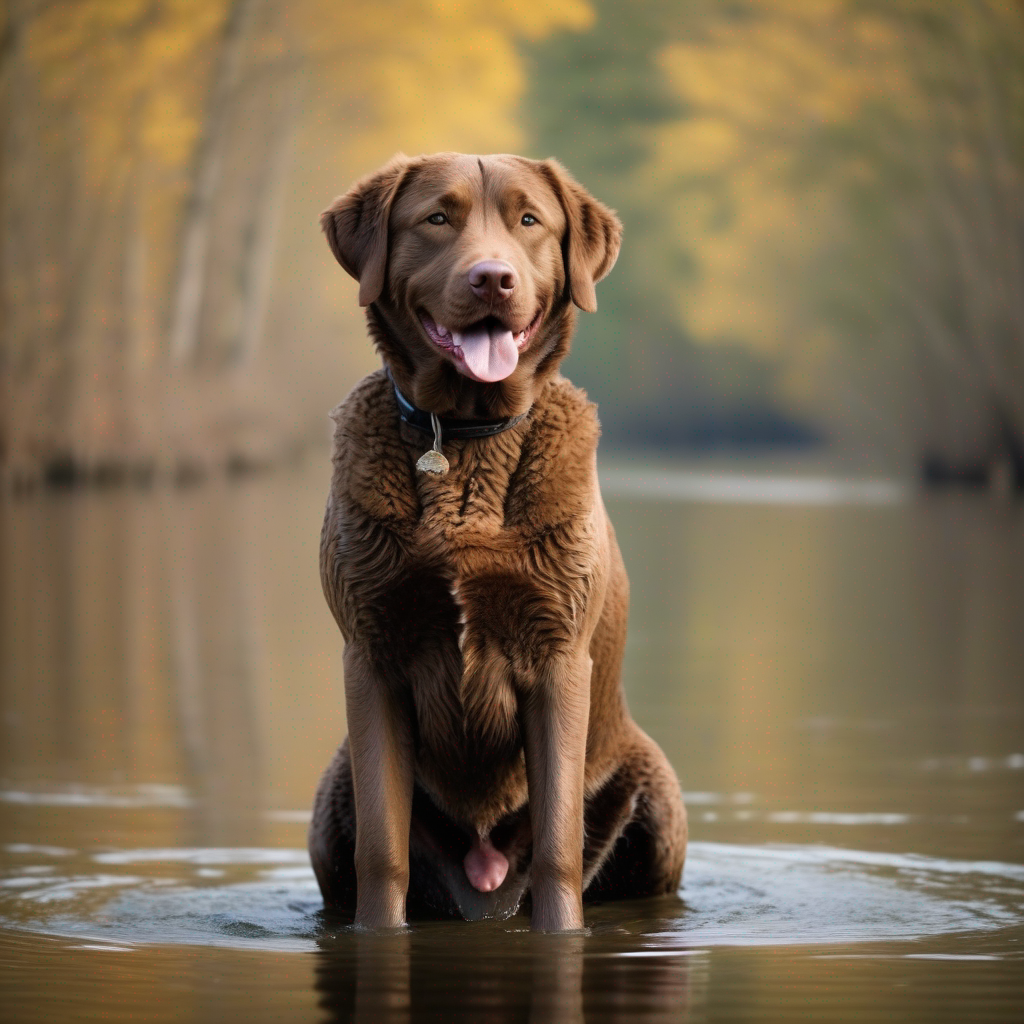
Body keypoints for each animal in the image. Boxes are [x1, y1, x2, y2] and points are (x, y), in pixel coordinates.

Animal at [307, 149, 684, 929]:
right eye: (436, 218)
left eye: (530, 220)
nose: (492, 278)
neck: (467, 439)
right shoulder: (372, 655)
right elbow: (381, 853)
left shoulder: (558, 658)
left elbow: (558, 847)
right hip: (332, 799)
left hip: (659, 800)